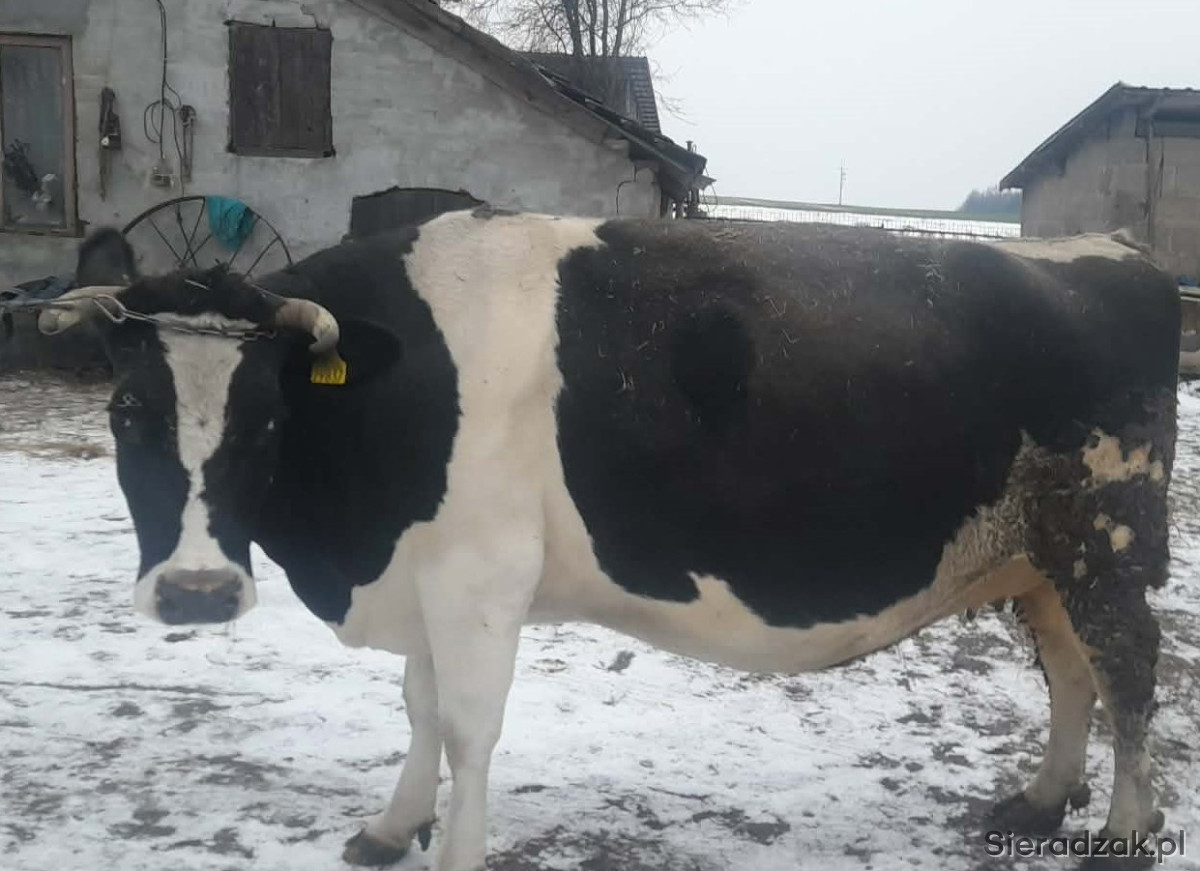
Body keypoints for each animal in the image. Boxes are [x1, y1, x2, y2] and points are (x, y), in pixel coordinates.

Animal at [24, 213, 1180, 870]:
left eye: (266, 415)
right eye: (127, 409)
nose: (197, 592)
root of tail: (1109, 252)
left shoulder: (480, 574)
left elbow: (467, 728)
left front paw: (455, 853)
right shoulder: (427, 572)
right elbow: (419, 707)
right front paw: (390, 828)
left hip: (1109, 529)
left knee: (1127, 669)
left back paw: (1121, 836)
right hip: (1038, 550)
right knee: (1069, 665)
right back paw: (1037, 800)